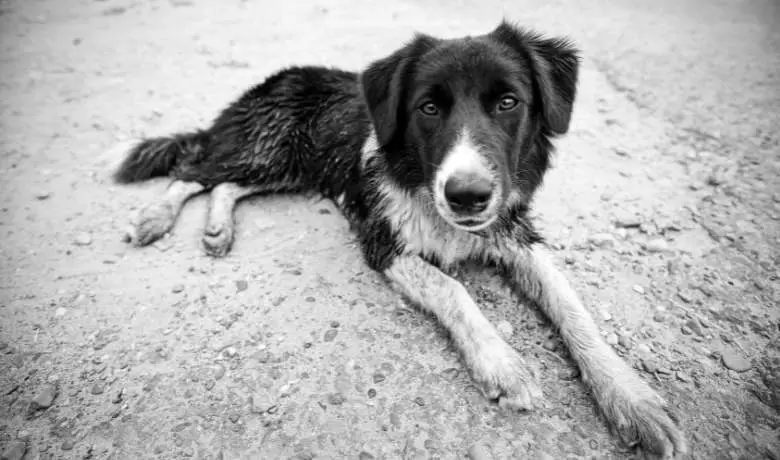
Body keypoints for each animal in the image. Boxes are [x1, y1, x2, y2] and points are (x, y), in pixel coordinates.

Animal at [112, 20, 684, 456]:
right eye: (428, 108)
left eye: (508, 102)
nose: (467, 196)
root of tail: (279, 78)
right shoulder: (382, 241)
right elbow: (454, 289)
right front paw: (502, 363)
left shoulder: (516, 234)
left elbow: (573, 308)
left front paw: (632, 399)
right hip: (269, 147)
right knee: (192, 169)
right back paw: (155, 217)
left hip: (292, 166)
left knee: (224, 184)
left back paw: (217, 228)